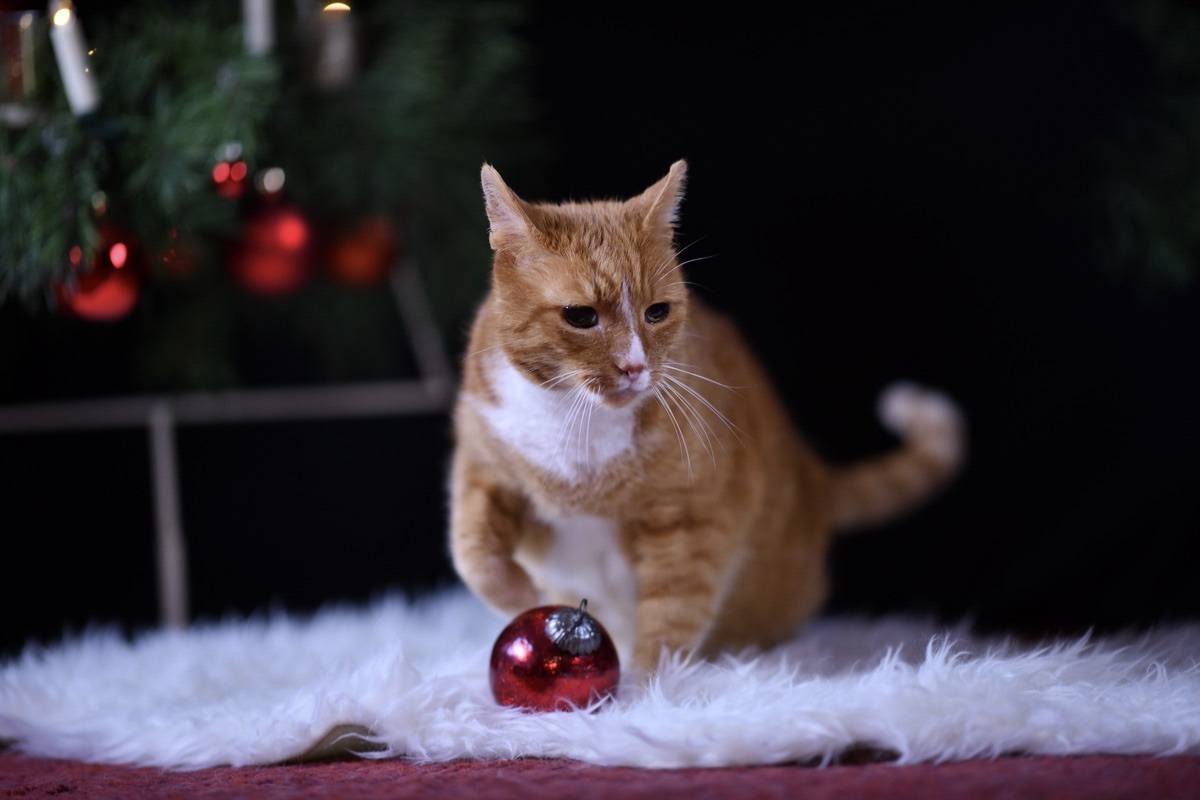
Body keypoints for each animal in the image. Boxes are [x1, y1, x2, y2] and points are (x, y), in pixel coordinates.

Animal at [451, 163, 964, 676]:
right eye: (580, 316)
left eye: (657, 312)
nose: (635, 367)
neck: (578, 424)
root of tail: (814, 474)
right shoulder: (482, 467)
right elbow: (473, 553)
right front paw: (521, 596)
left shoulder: (691, 521)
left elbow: (672, 613)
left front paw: (646, 688)